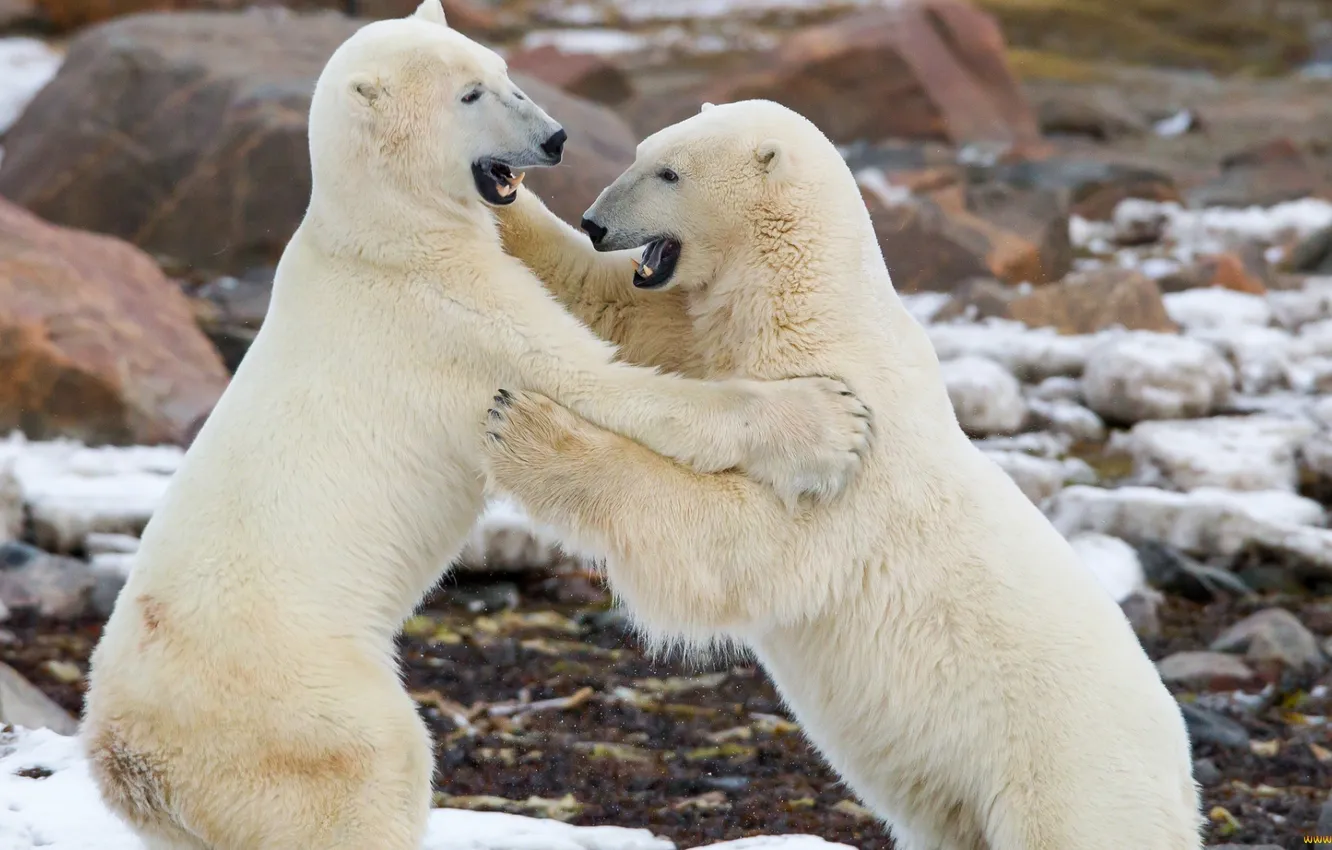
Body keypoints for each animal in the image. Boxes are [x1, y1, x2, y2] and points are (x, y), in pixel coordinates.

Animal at [78, 18, 874, 850]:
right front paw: (828, 420)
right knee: (372, 768)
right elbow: (601, 383)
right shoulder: (449, 316)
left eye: (502, 72)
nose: (554, 138)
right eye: (469, 94)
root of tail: (129, 759)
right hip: (292, 700)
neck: (380, 234)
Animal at [482, 99, 1204, 850]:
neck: (809, 304)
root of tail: (1183, 788)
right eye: (641, 152)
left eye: (669, 172)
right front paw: (501, 194)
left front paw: (526, 426)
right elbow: (614, 309)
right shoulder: (706, 332)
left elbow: (737, 541)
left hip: (1068, 780)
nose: (596, 222)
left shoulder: (853, 454)